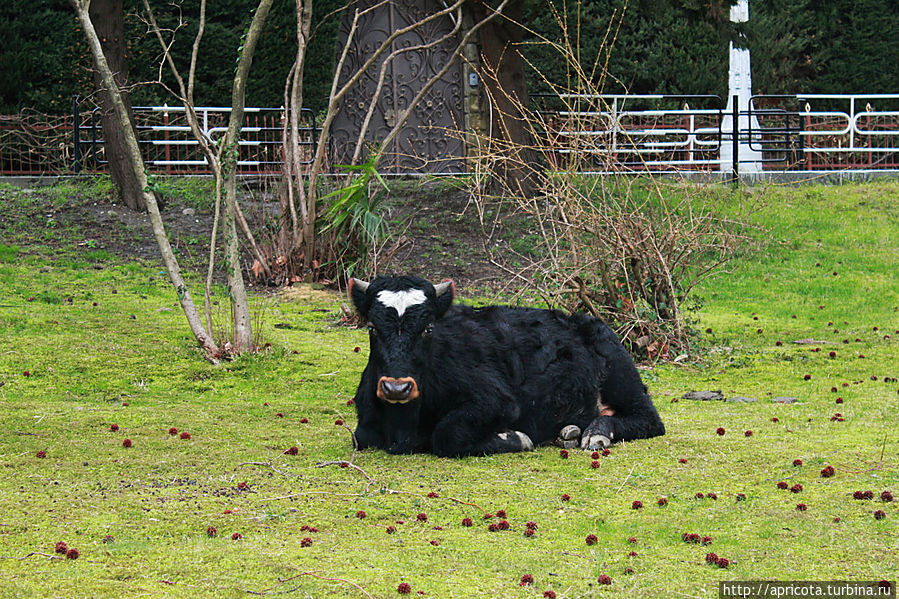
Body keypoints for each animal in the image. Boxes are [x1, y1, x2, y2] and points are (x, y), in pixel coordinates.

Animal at [348, 276, 664, 460]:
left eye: (427, 329)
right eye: (372, 327)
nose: (396, 388)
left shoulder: (498, 401)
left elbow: (446, 434)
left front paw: (515, 438)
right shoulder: (364, 426)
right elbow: (360, 437)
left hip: (622, 376)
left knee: (649, 419)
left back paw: (596, 433)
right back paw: (571, 431)